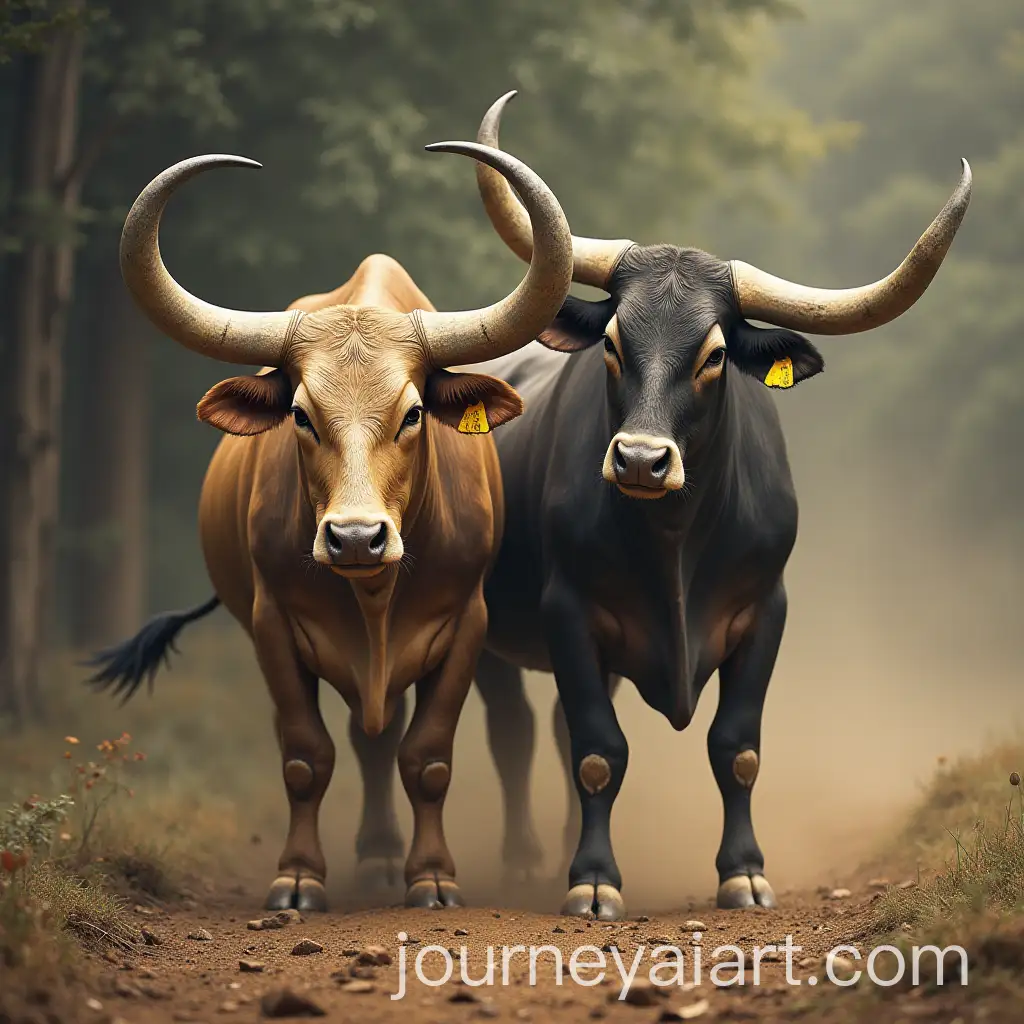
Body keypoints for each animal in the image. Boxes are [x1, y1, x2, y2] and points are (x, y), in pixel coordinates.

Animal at [83, 137, 575, 913]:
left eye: (413, 413)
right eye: (300, 415)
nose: (354, 537)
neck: (373, 598)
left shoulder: (466, 625)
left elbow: (428, 757)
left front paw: (433, 878)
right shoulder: (272, 626)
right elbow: (306, 757)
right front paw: (297, 878)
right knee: (365, 740)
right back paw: (373, 857)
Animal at [347, 90, 972, 919]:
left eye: (715, 355)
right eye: (612, 343)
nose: (641, 459)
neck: (675, 542)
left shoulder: (763, 612)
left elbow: (735, 749)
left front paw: (743, 873)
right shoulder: (568, 611)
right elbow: (598, 752)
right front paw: (592, 879)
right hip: (482, 627)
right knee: (511, 733)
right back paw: (505, 860)